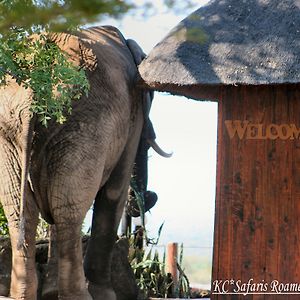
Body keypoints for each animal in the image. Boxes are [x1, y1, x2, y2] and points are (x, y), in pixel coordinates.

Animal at [0, 26, 155, 300]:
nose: (147, 199)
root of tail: (31, 94)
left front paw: (50, 293)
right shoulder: (133, 115)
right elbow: (114, 192)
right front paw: (105, 295)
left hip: (12, 132)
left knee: (23, 212)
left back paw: (23, 294)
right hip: (85, 124)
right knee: (68, 213)